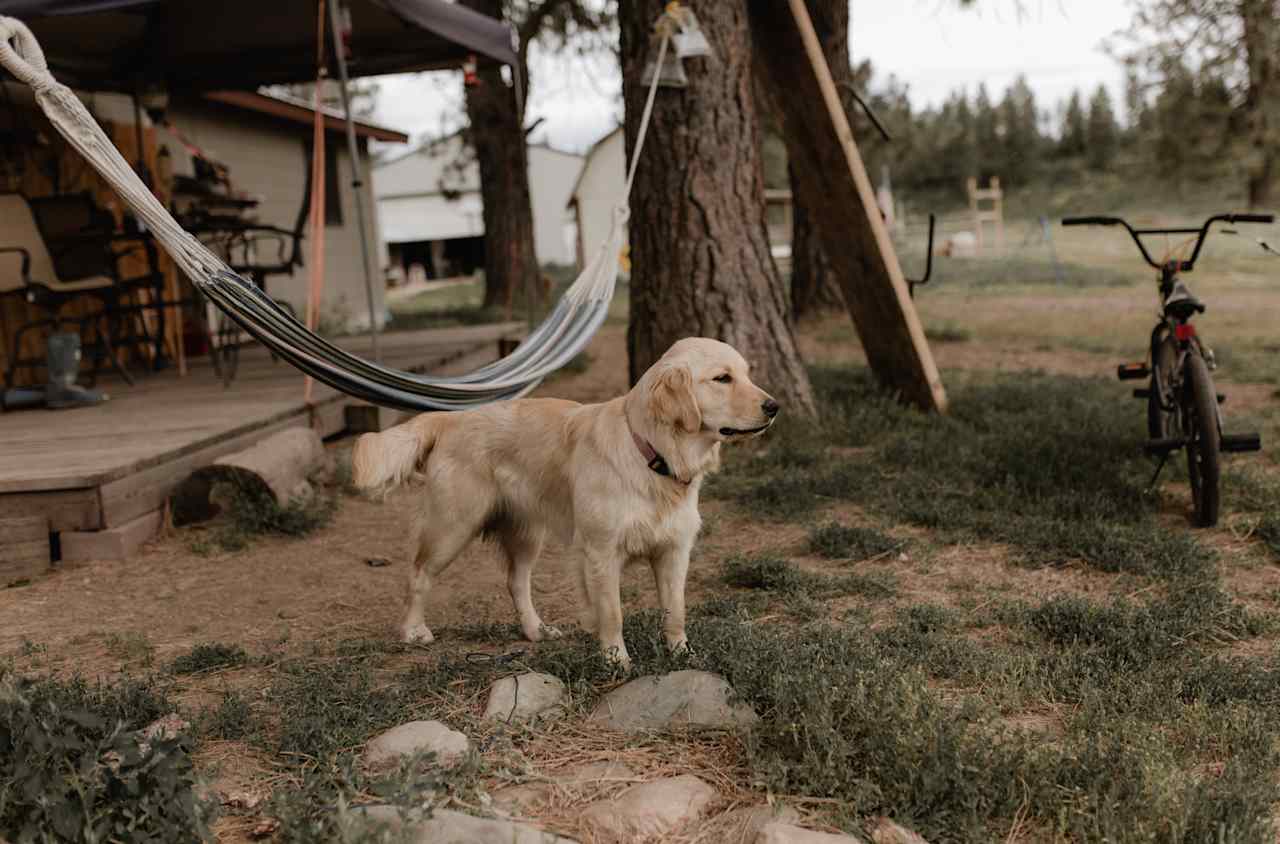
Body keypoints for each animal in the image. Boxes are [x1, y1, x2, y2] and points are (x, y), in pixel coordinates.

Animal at [355, 335, 783, 665]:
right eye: (722, 378)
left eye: (746, 374)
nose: (774, 406)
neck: (653, 455)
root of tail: (450, 418)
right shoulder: (600, 552)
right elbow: (612, 613)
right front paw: (616, 660)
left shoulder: (674, 551)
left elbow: (675, 611)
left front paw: (681, 654)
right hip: (453, 525)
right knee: (418, 575)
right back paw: (414, 630)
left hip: (527, 533)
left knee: (516, 581)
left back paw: (535, 629)